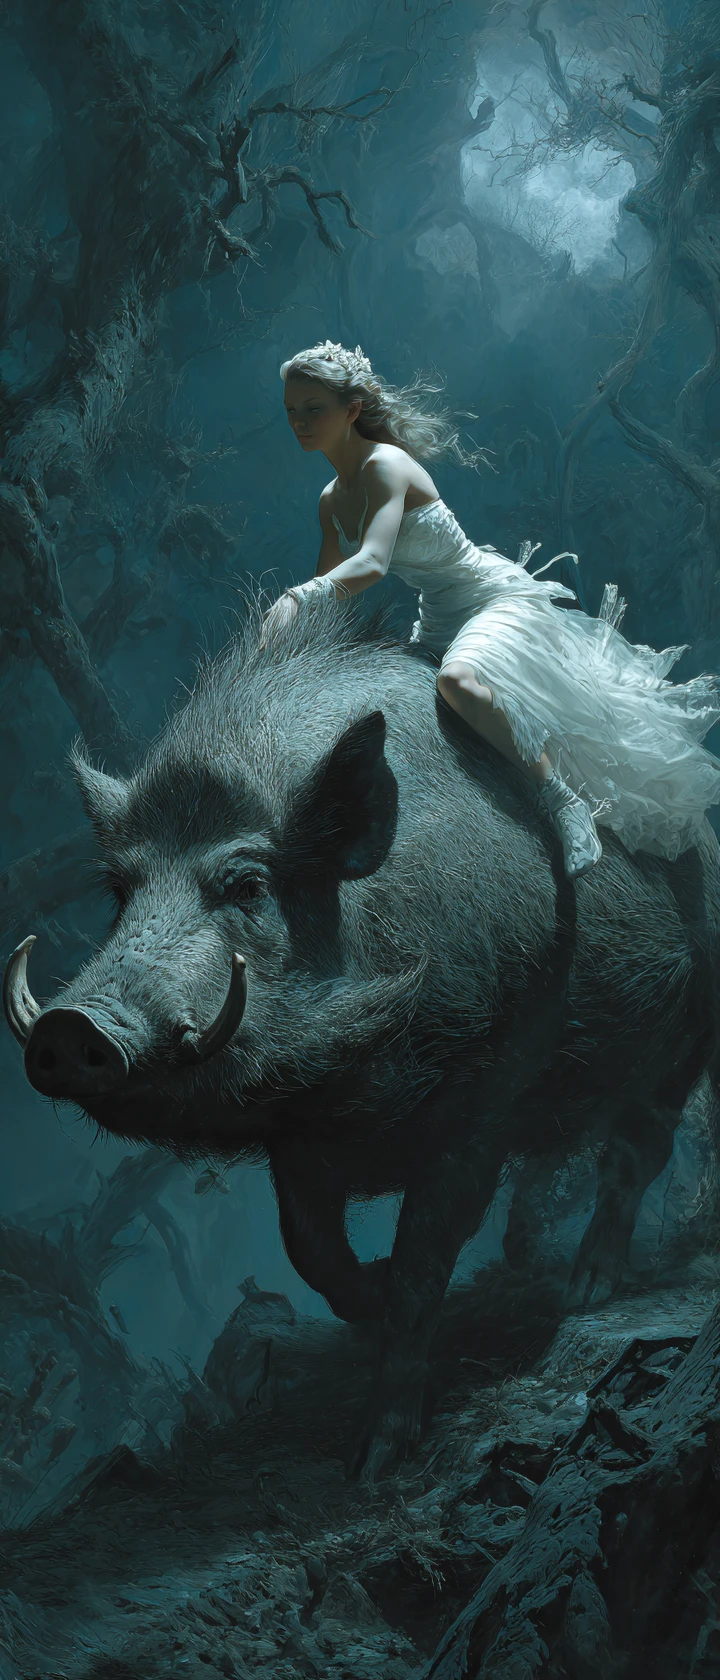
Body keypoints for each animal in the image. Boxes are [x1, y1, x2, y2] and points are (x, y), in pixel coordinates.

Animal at [5, 596, 720, 1479]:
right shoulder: (296, 1139)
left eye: (247, 885)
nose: (71, 1024)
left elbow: (424, 1261)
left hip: (688, 1035)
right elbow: (310, 1250)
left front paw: (374, 1459)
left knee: (636, 1153)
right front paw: (369, 1300)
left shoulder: (485, 1094)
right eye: (120, 889)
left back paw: (588, 1290)